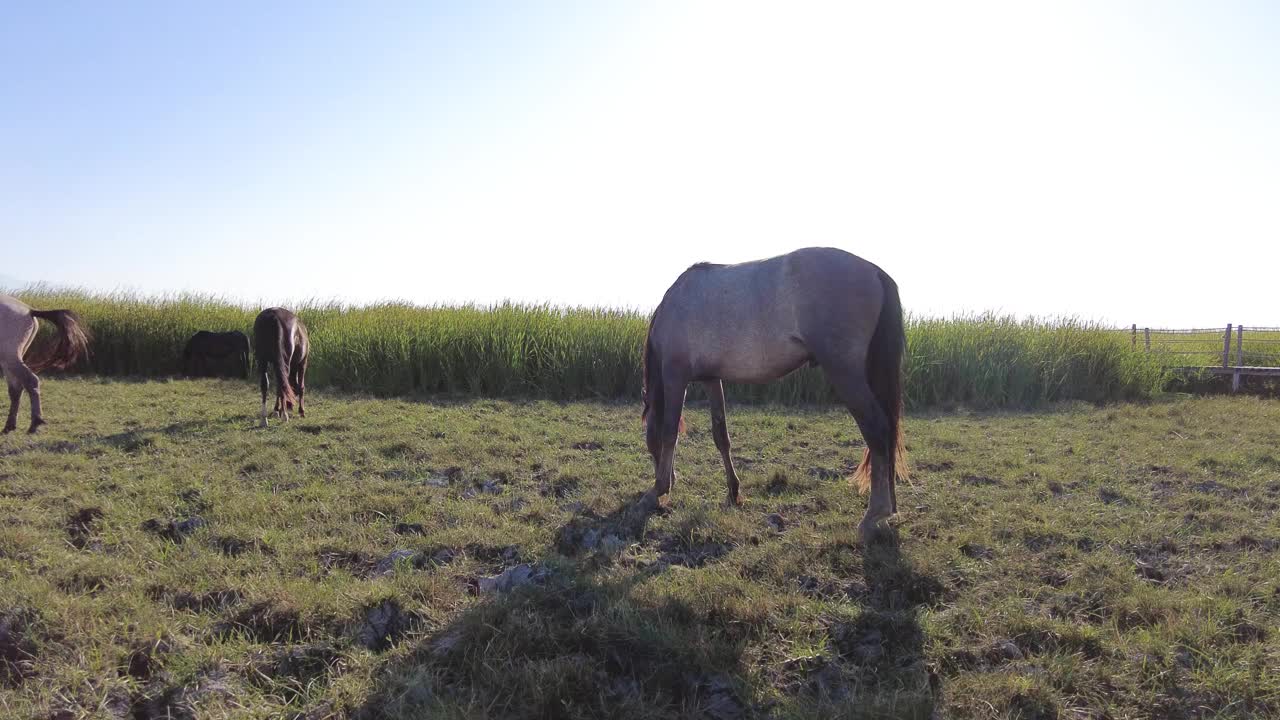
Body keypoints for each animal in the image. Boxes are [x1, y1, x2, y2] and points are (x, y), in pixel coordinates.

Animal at [0, 292, 91, 430]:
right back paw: (10, 426)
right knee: (15, 389)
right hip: (8, 361)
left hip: (11, 358)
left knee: (30, 382)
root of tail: (29, 310)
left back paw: (35, 423)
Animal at [640, 244, 911, 538]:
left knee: (876, 429)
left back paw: (874, 514)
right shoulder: (712, 379)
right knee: (888, 430)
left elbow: (669, 432)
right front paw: (733, 492)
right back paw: (890, 510)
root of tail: (874, 271)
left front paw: (658, 489)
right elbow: (721, 436)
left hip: (846, 373)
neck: (674, 306)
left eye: (648, 445)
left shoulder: (675, 376)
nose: (670, 481)